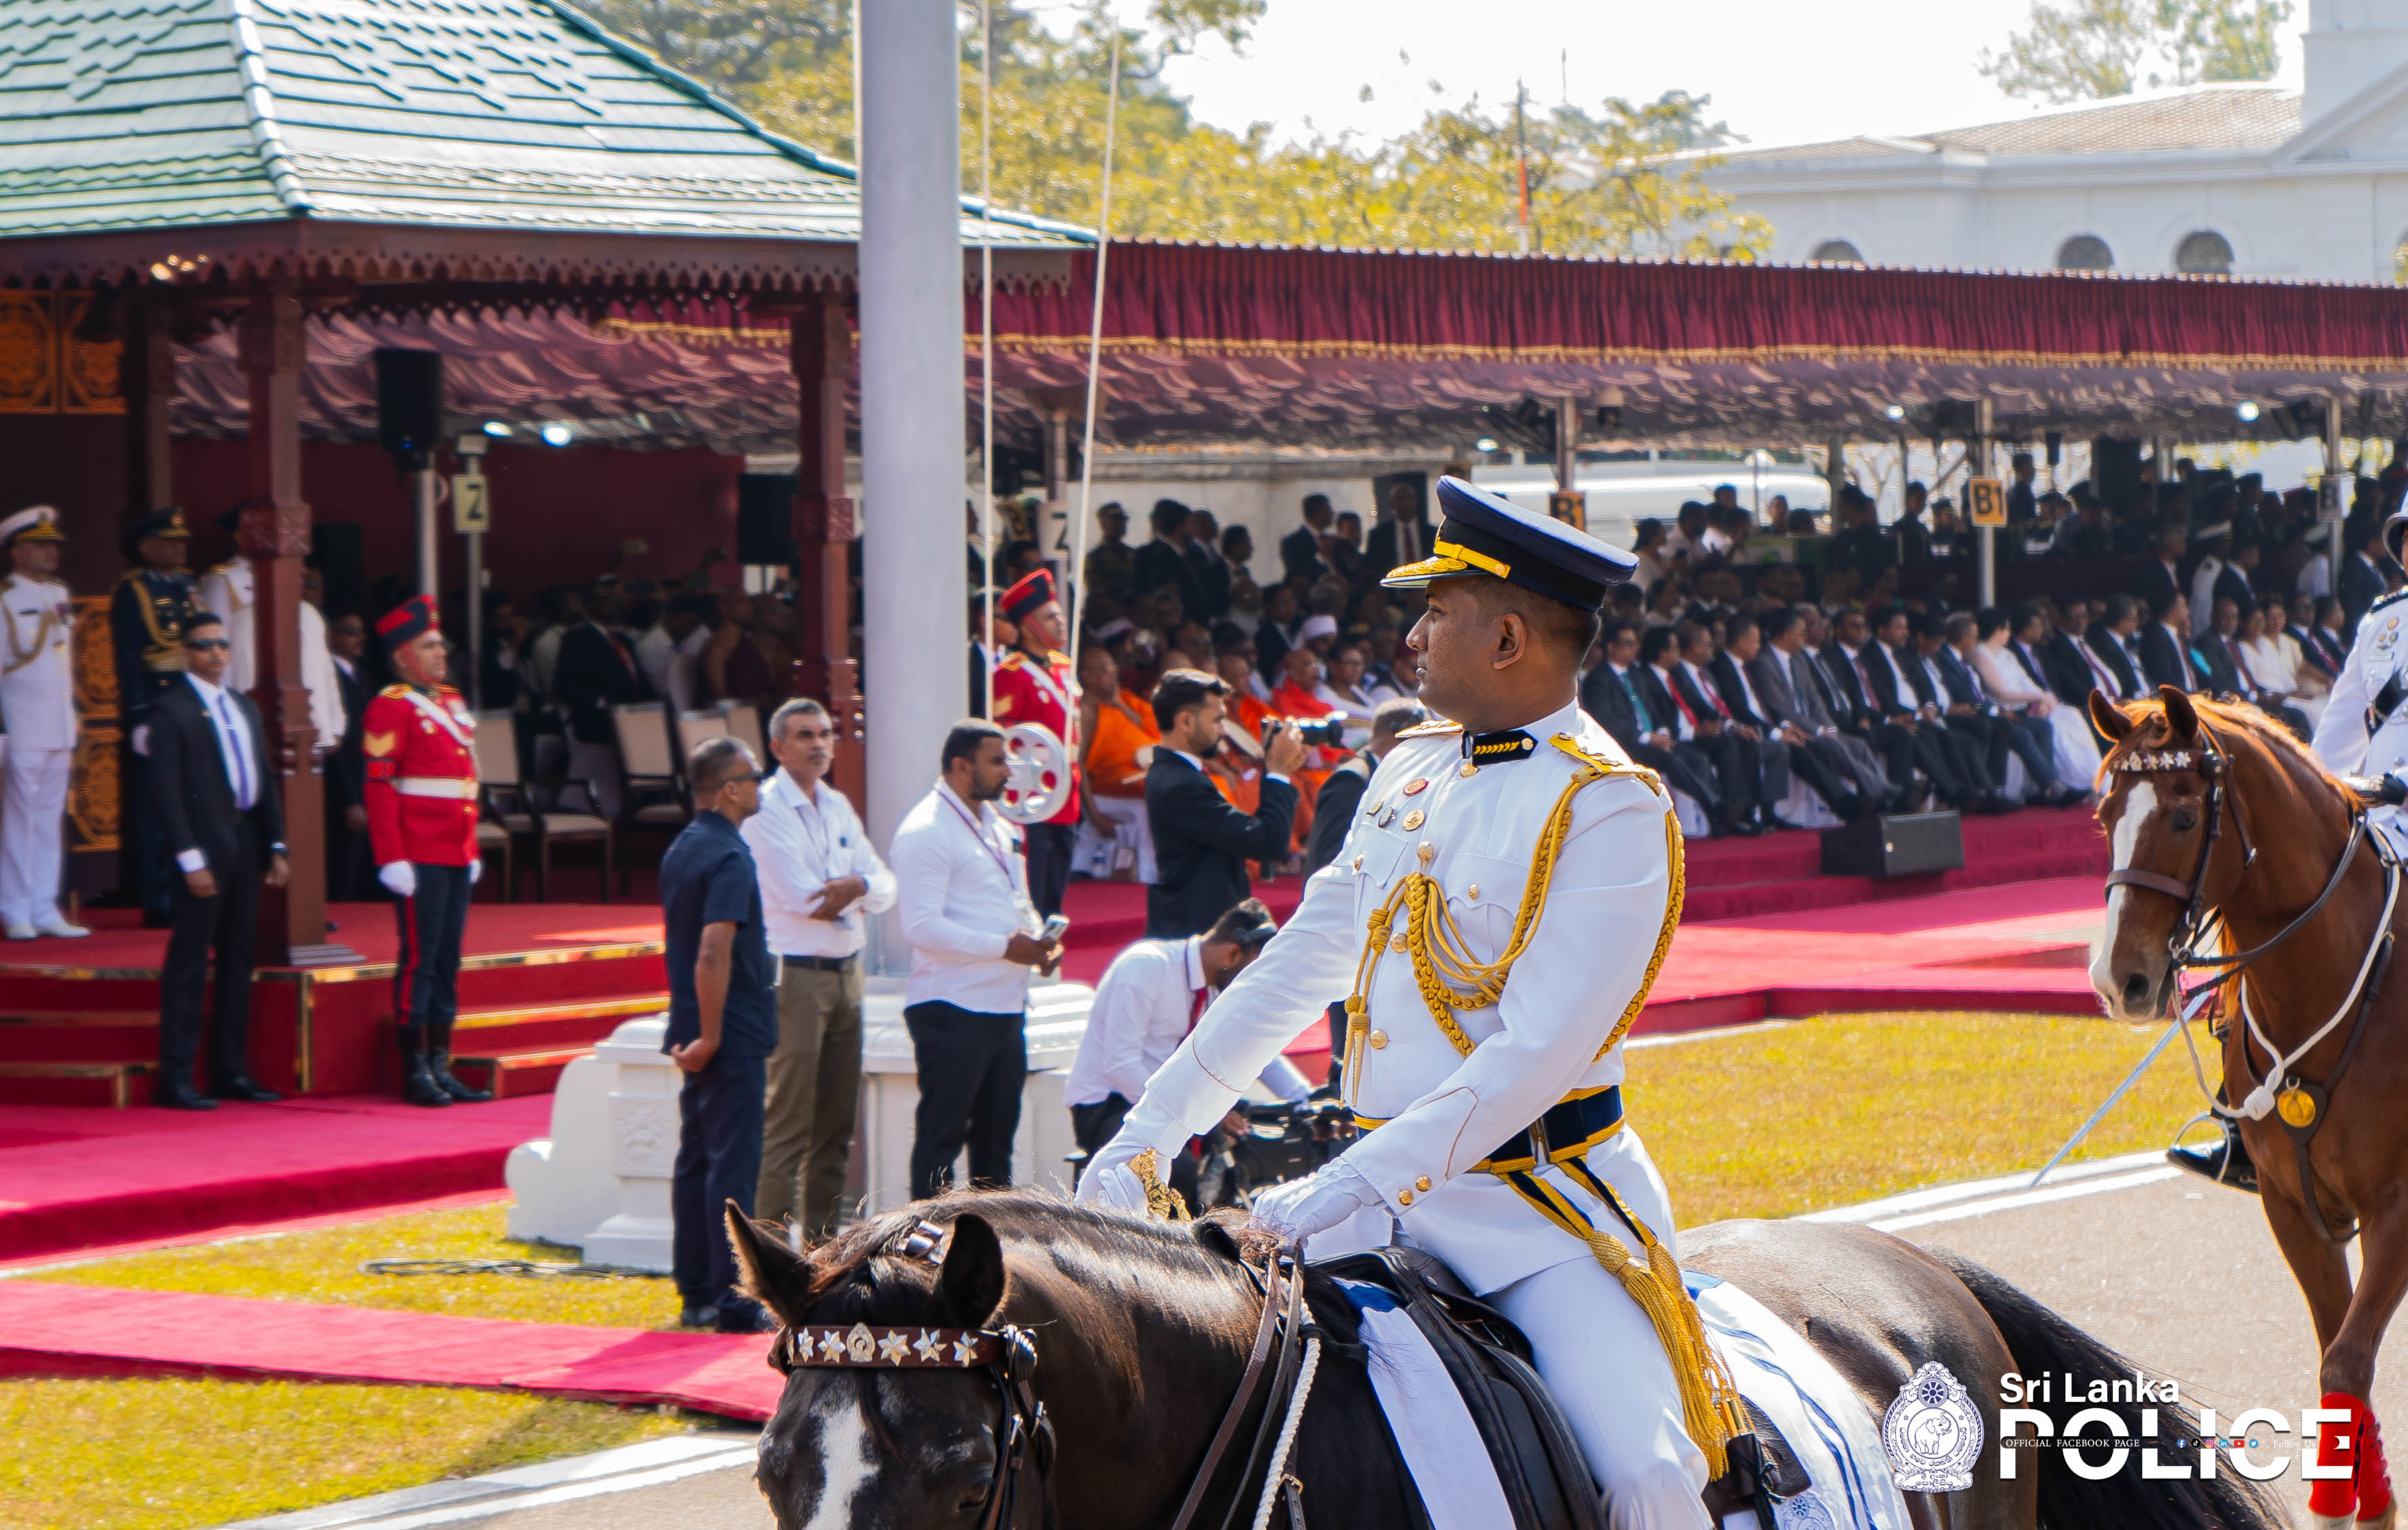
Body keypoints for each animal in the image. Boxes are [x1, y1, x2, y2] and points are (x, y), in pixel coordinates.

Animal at [2090, 686, 2408, 1530]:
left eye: (2180, 817)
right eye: (2103, 815)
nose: (2118, 980)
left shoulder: (2399, 1204)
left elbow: (2347, 1358)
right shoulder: (2288, 1202)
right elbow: (2337, 1353)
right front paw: (2361, 1502)